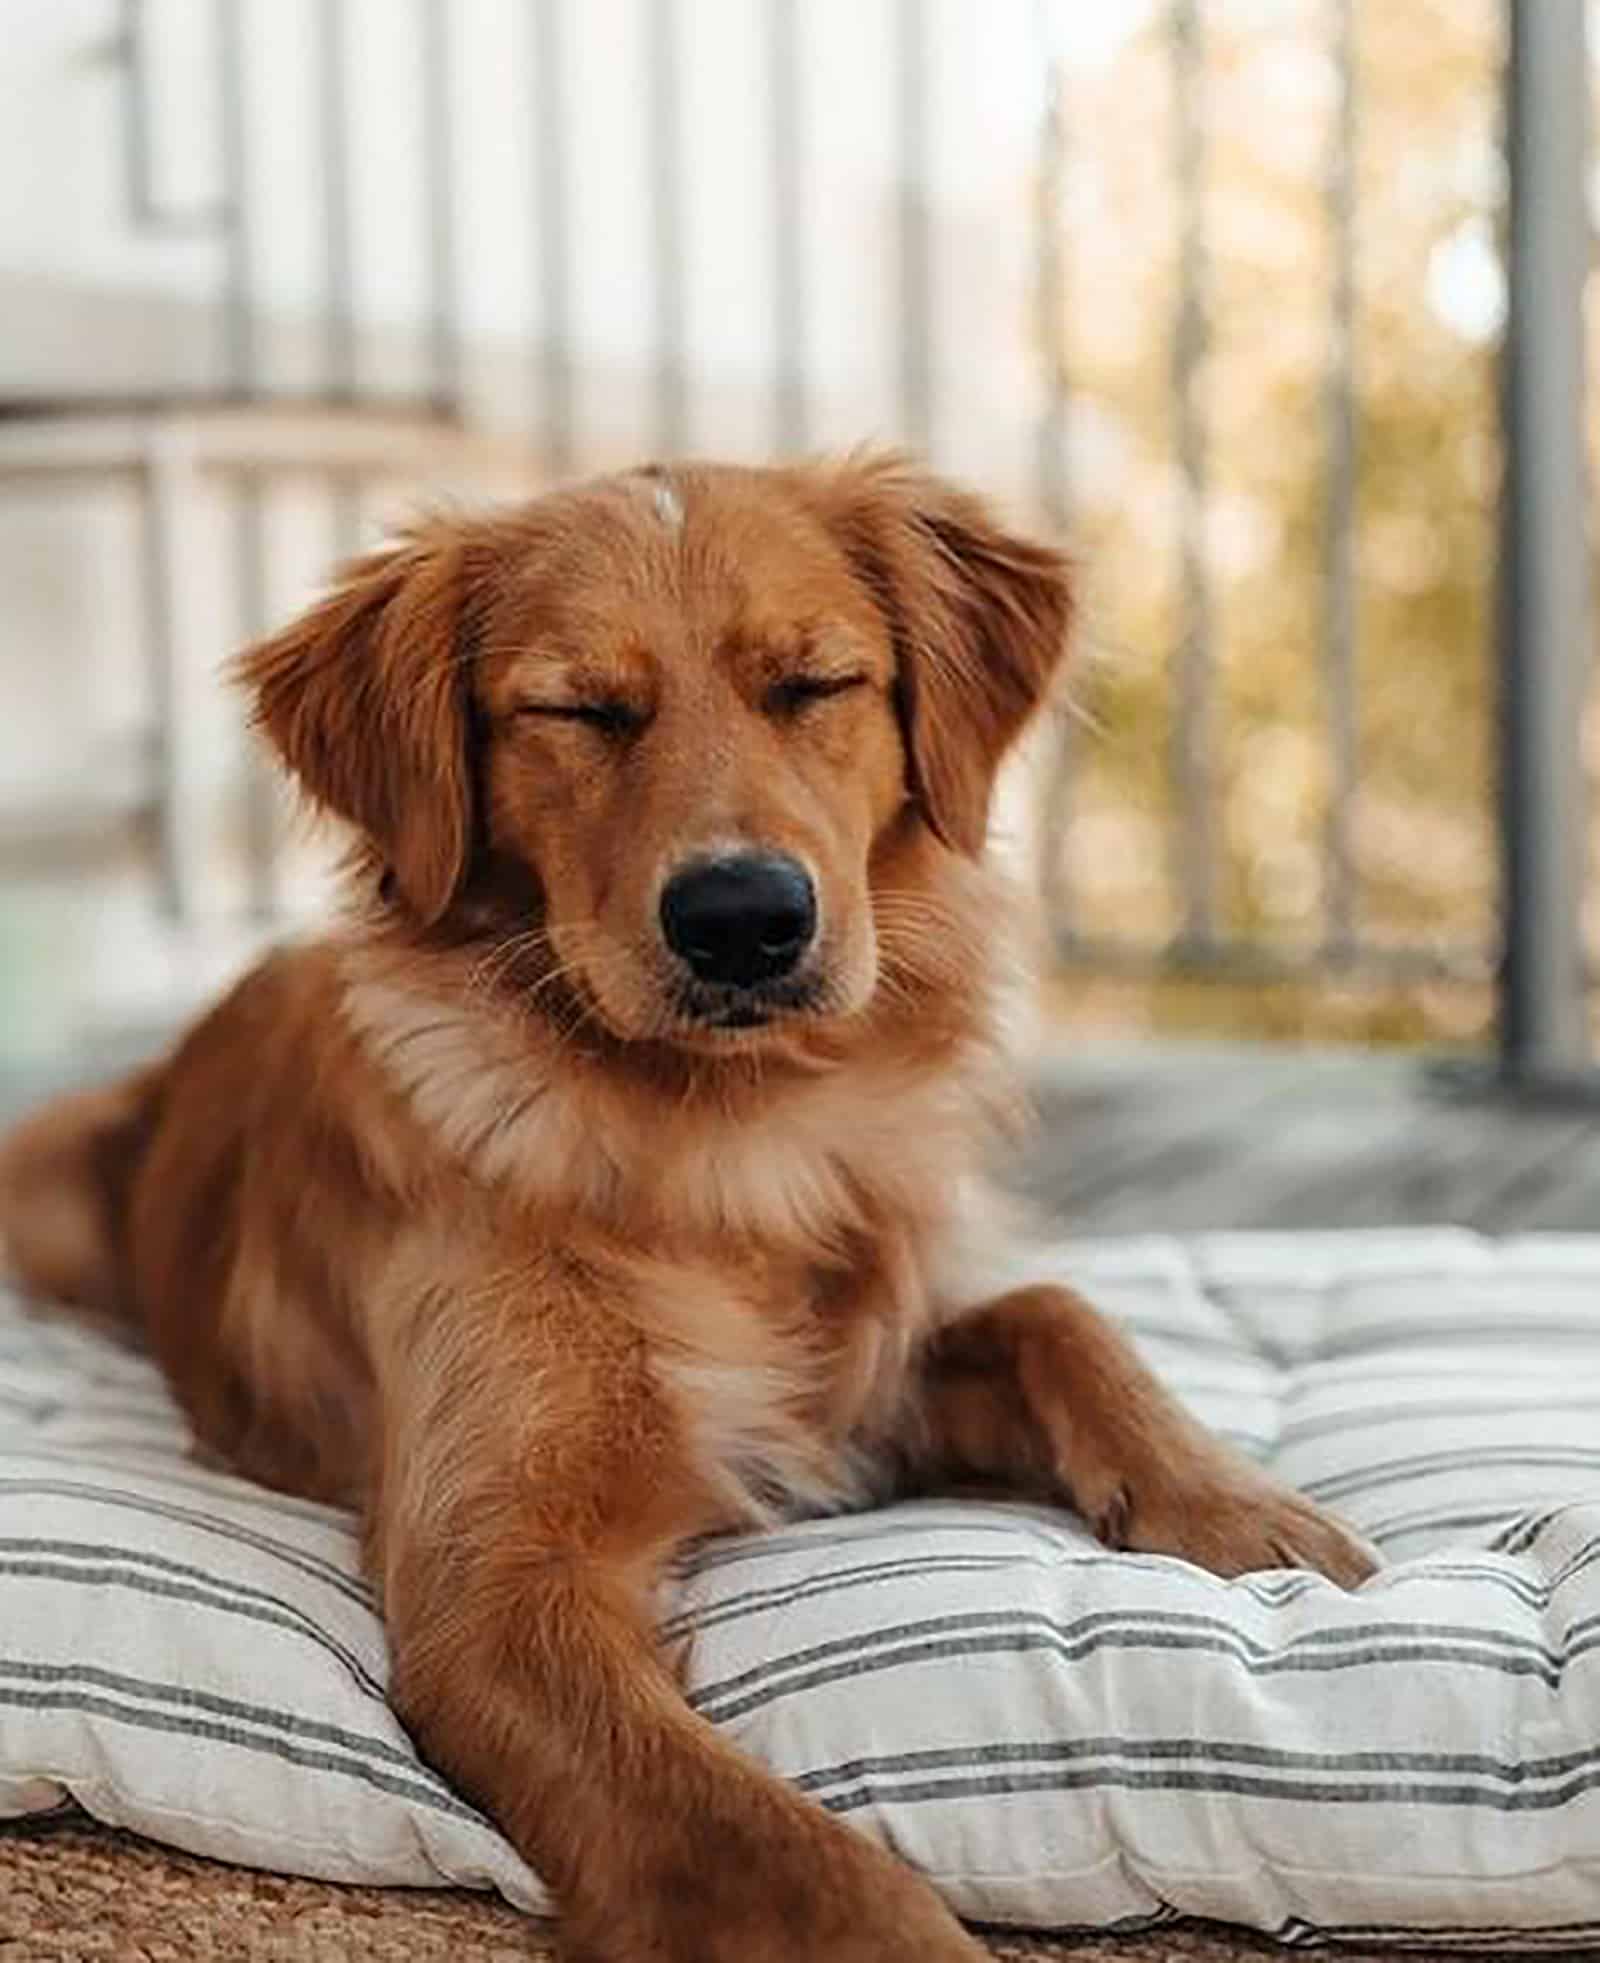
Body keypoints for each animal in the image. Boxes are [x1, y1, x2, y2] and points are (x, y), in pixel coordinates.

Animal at [0, 459, 1374, 1963]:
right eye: (577, 710)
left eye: (814, 683)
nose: (742, 917)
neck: (728, 1143)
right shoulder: (500, 1583)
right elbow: (768, 1842)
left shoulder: (860, 1384)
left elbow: (1051, 1307)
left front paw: (1230, 1499)